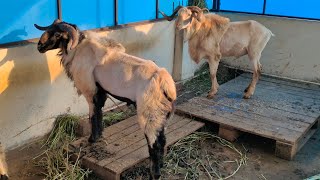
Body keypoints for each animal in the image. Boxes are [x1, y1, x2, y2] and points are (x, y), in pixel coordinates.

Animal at [34, 19, 178, 179]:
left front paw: (92, 139)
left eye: (57, 34)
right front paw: (99, 135)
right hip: (161, 115)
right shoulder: (100, 91)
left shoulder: (90, 91)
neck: (77, 49)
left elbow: (93, 115)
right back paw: (161, 166)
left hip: (149, 114)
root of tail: (164, 82)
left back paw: (154, 174)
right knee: (162, 140)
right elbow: (100, 112)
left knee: (155, 144)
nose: (39, 46)